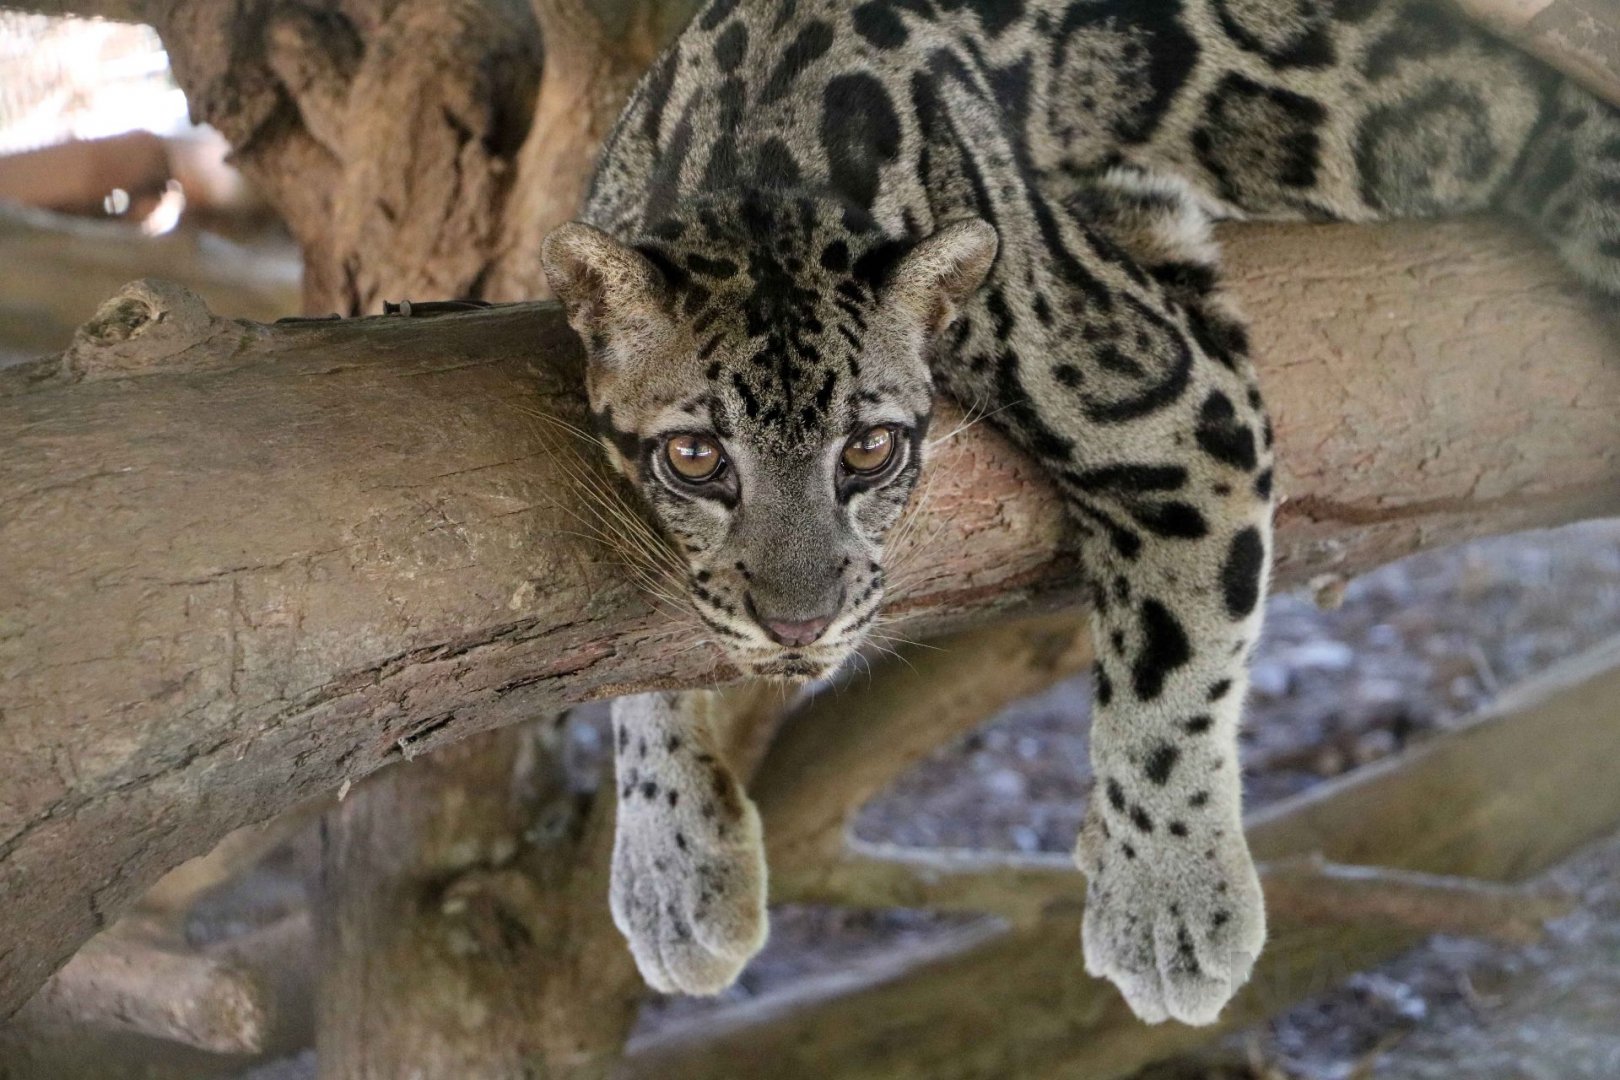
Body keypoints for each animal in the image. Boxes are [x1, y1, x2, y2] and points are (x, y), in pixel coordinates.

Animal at [540, 0, 1620, 1025]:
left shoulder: (1158, 400)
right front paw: (673, 860)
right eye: (695, 458)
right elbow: (643, 660)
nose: (800, 625)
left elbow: (1175, 661)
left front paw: (1169, 900)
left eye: (870, 450)